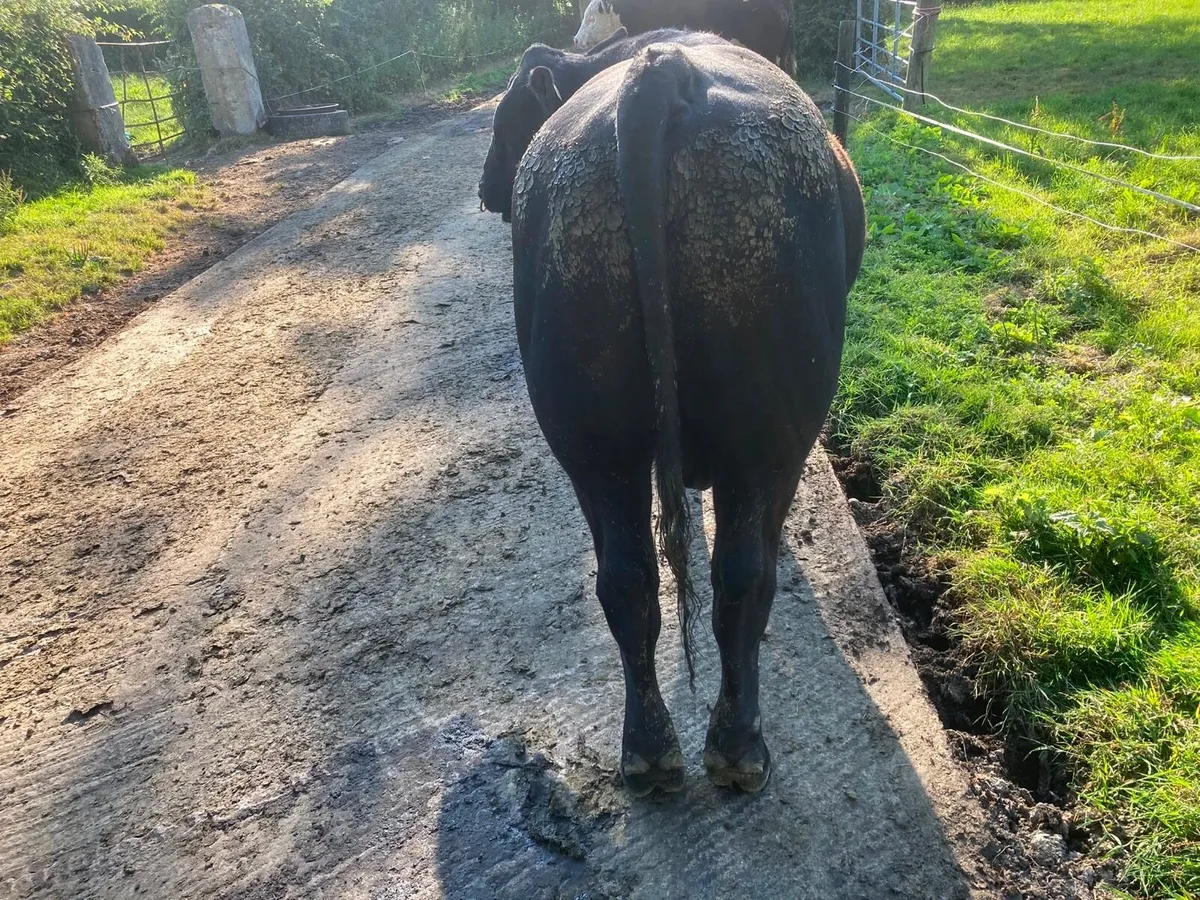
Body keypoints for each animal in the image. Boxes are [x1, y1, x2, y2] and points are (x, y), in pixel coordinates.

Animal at [504, 37, 866, 795]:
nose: (487, 190)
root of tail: (664, 71)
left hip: (594, 443)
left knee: (626, 577)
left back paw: (647, 750)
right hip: (767, 437)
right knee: (744, 574)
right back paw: (737, 747)